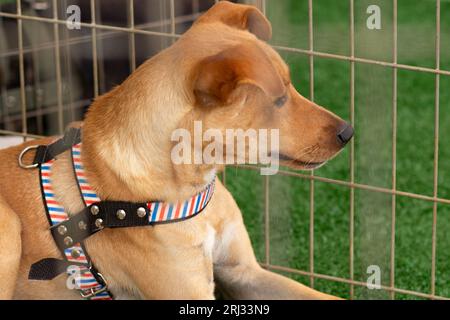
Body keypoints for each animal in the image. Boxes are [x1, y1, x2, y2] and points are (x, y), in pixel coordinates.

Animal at [0, 1, 352, 298]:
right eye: (278, 100)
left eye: (291, 86)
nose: (348, 132)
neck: (190, 184)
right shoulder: (191, 292)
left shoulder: (244, 272)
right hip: (9, 227)